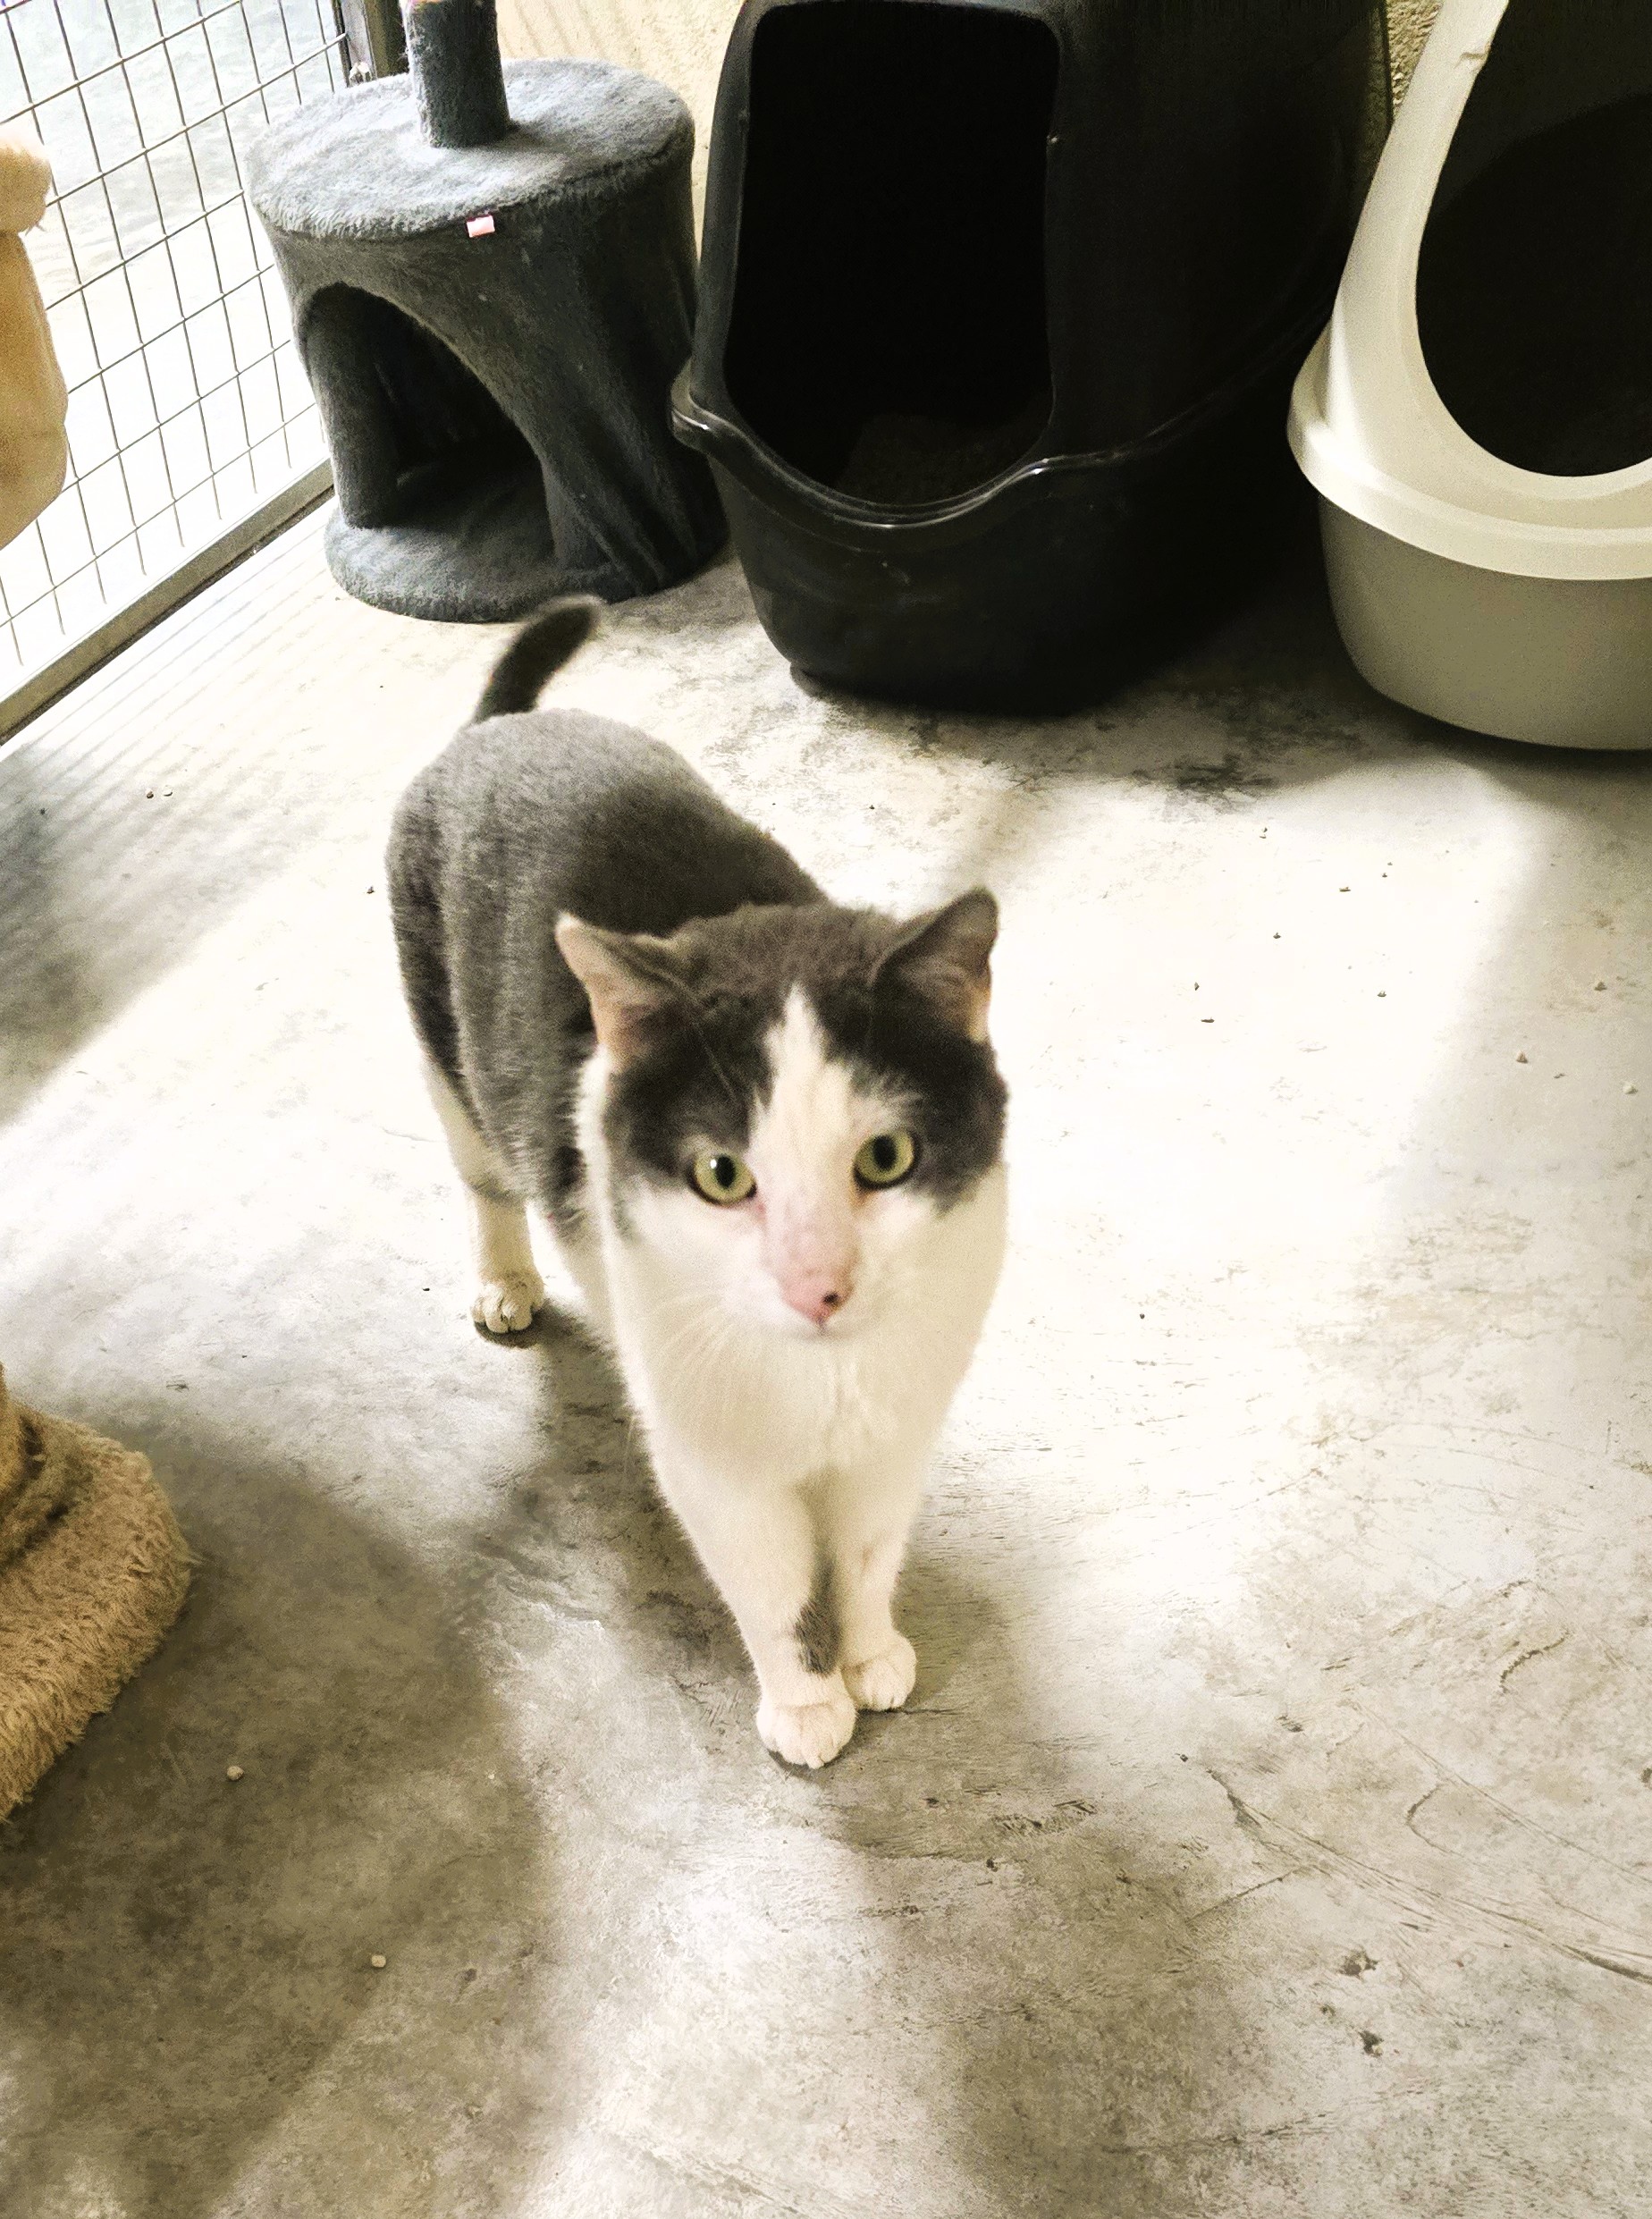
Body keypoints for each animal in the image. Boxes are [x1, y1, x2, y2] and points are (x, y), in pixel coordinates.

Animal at [386, 600, 1008, 1767]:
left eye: (886, 1158)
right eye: (723, 1174)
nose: (819, 1286)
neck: (824, 1377)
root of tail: (496, 731)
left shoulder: (895, 1428)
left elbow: (867, 1553)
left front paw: (871, 1652)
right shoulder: (712, 1455)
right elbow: (770, 1583)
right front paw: (806, 1703)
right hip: (445, 1051)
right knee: (484, 1172)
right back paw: (505, 1278)